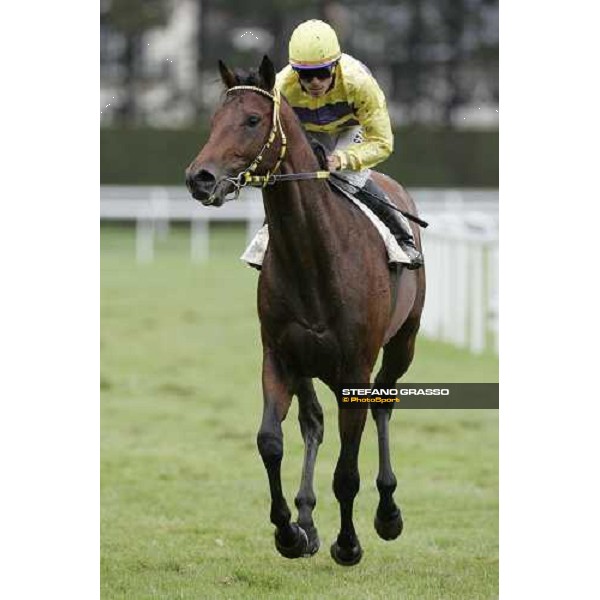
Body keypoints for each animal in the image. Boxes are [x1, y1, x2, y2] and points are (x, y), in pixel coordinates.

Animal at [185, 56, 424, 568]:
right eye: (214, 120)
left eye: (253, 120)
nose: (200, 178)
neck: (315, 255)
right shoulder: (279, 356)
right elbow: (270, 441)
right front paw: (290, 532)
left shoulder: (354, 368)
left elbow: (347, 471)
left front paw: (348, 544)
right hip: (311, 365)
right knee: (312, 422)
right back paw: (308, 519)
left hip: (402, 343)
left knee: (383, 404)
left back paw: (388, 513)